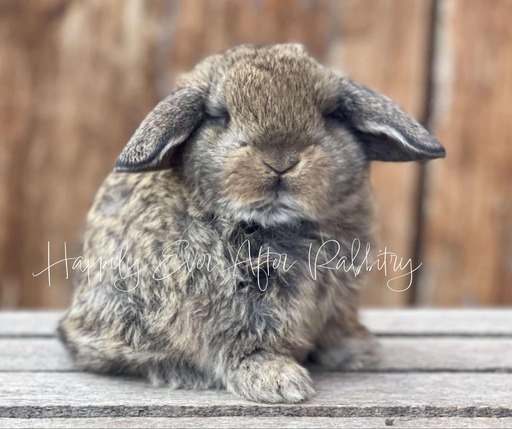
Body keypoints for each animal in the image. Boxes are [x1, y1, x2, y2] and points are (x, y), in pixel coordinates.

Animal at [59, 44, 444, 404]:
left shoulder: (338, 301)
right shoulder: (238, 308)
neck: (277, 224)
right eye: (219, 116)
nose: (280, 161)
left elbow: (335, 328)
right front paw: (281, 383)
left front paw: (360, 353)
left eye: (331, 114)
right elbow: (248, 344)